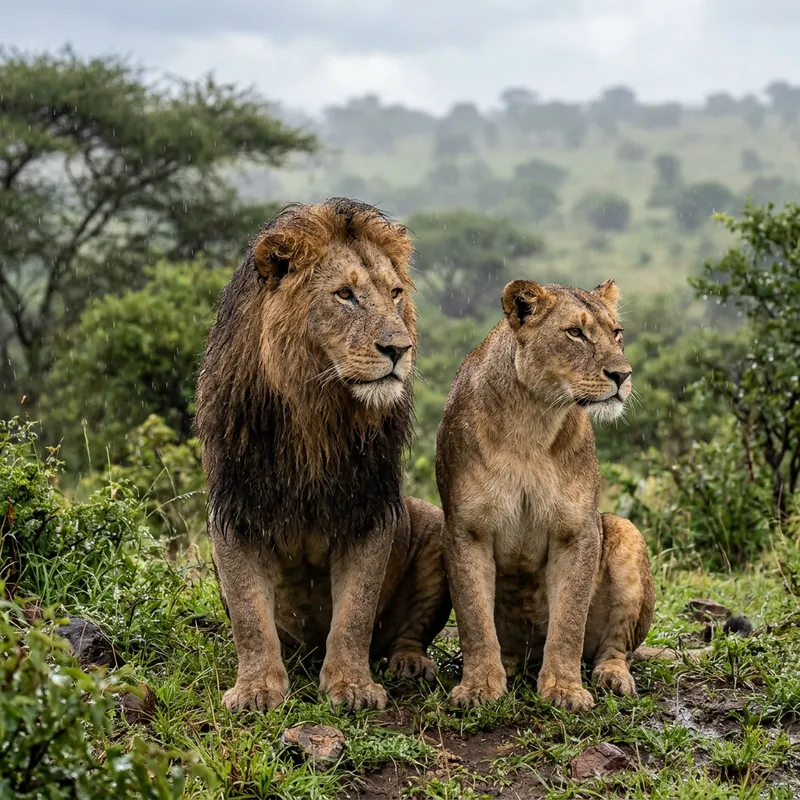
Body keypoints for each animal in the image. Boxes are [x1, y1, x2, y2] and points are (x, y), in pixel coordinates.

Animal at [195, 198, 451, 712]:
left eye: (395, 293)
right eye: (345, 295)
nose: (400, 348)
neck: (317, 411)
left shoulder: (371, 509)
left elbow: (355, 611)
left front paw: (352, 686)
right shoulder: (234, 509)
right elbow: (249, 617)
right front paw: (256, 690)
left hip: (435, 526)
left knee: (407, 635)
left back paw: (411, 665)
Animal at [435, 278, 656, 711]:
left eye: (617, 333)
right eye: (576, 333)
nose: (623, 375)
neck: (532, 420)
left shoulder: (578, 531)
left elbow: (569, 620)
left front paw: (565, 689)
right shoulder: (465, 530)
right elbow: (473, 617)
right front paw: (478, 686)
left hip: (624, 531)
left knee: (616, 648)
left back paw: (612, 677)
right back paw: (507, 666)